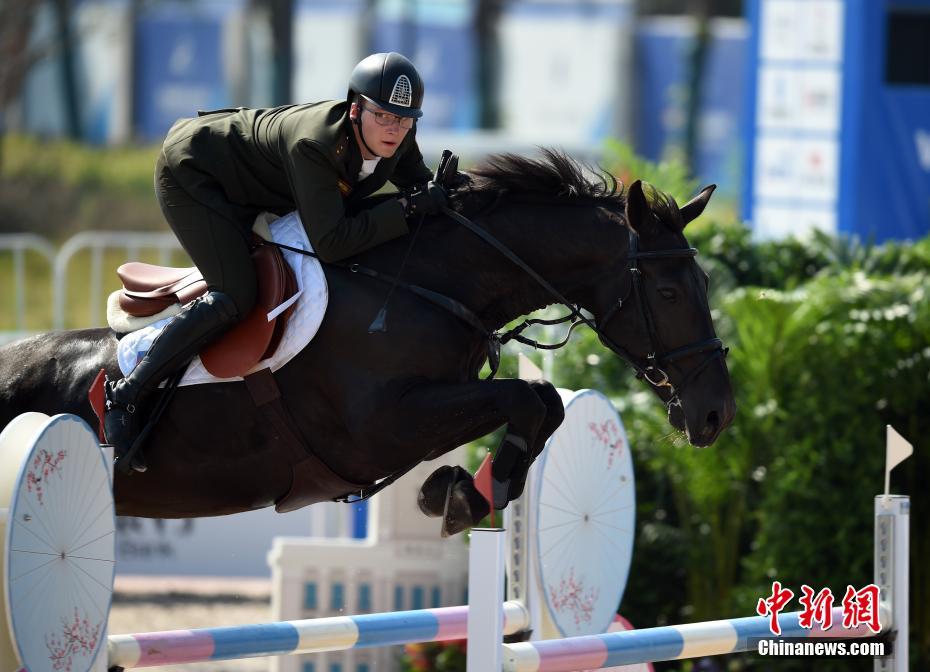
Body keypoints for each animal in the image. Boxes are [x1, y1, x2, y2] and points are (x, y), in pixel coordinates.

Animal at [0, 150, 735, 533]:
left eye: (703, 281)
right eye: (669, 292)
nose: (716, 414)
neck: (426, 284)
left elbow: (542, 404)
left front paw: (462, 491)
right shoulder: (377, 427)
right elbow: (531, 399)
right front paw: (465, 497)